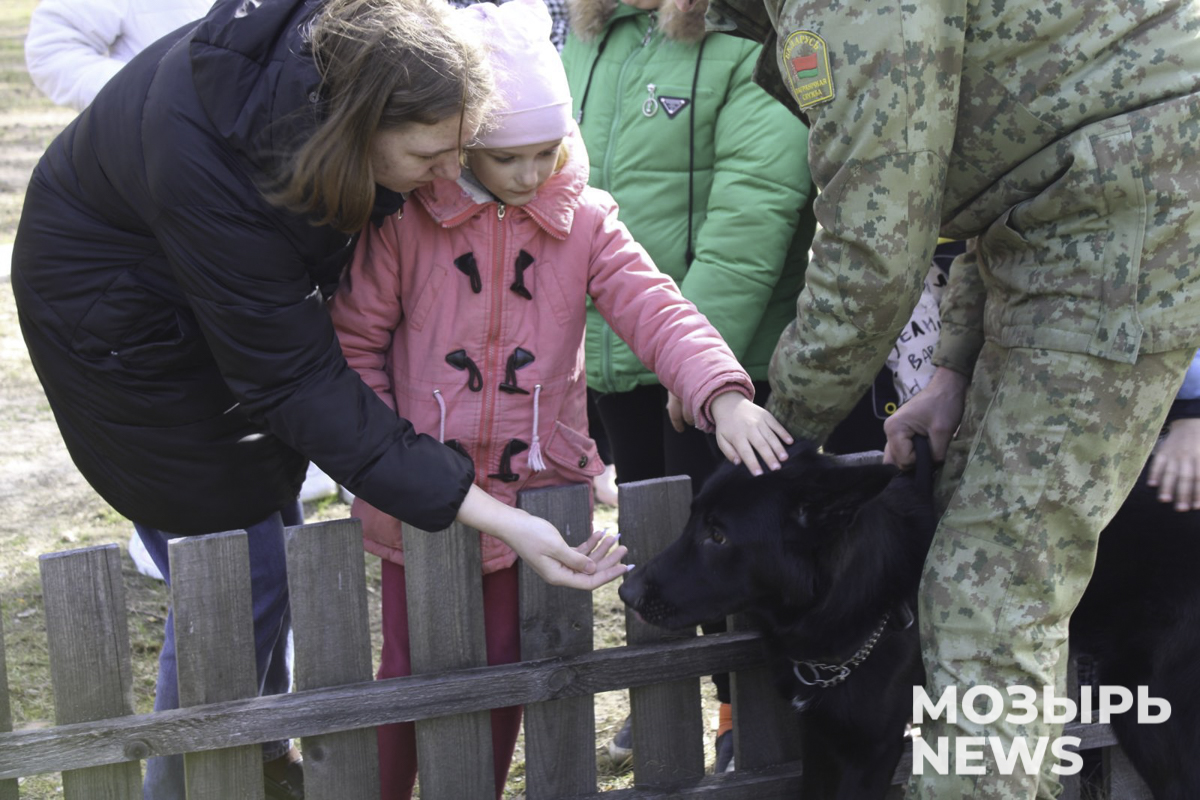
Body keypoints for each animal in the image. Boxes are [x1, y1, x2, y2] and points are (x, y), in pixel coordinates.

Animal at [624, 441, 1200, 796]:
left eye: (718, 535)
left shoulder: (868, 752)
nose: (627, 590)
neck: (859, 595)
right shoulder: (822, 739)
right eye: (693, 520)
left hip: (1154, 718)